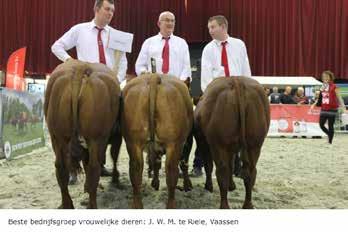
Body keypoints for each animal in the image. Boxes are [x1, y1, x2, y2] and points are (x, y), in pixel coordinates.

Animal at [44, 59, 121, 208]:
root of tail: (82, 67)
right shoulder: (116, 136)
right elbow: (114, 155)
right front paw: (115, 178)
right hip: (96, 138)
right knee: (93, 168)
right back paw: (92, 204)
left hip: (57, 136)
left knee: (61, 168)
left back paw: (67, 204)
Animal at [121, 74, 193, 208]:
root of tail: (154, 77)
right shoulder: (187, 141)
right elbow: (184, 162)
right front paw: (187, 185)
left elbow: (155, 163)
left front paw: (155, 183)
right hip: (173, 144)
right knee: (171, 172)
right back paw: (171, 205)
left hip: (133, 143)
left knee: (136, 170)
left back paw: (137, 204)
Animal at [194, 77, 270, 209]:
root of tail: (236, 81)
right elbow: (231, 164)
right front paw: (232, 185)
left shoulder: (203, 142)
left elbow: (209, 165)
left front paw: (209, 186)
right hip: (255, 144)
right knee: (250, 172)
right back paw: (248, 204)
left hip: (219, 145)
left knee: (222, 172)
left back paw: (224, 205)